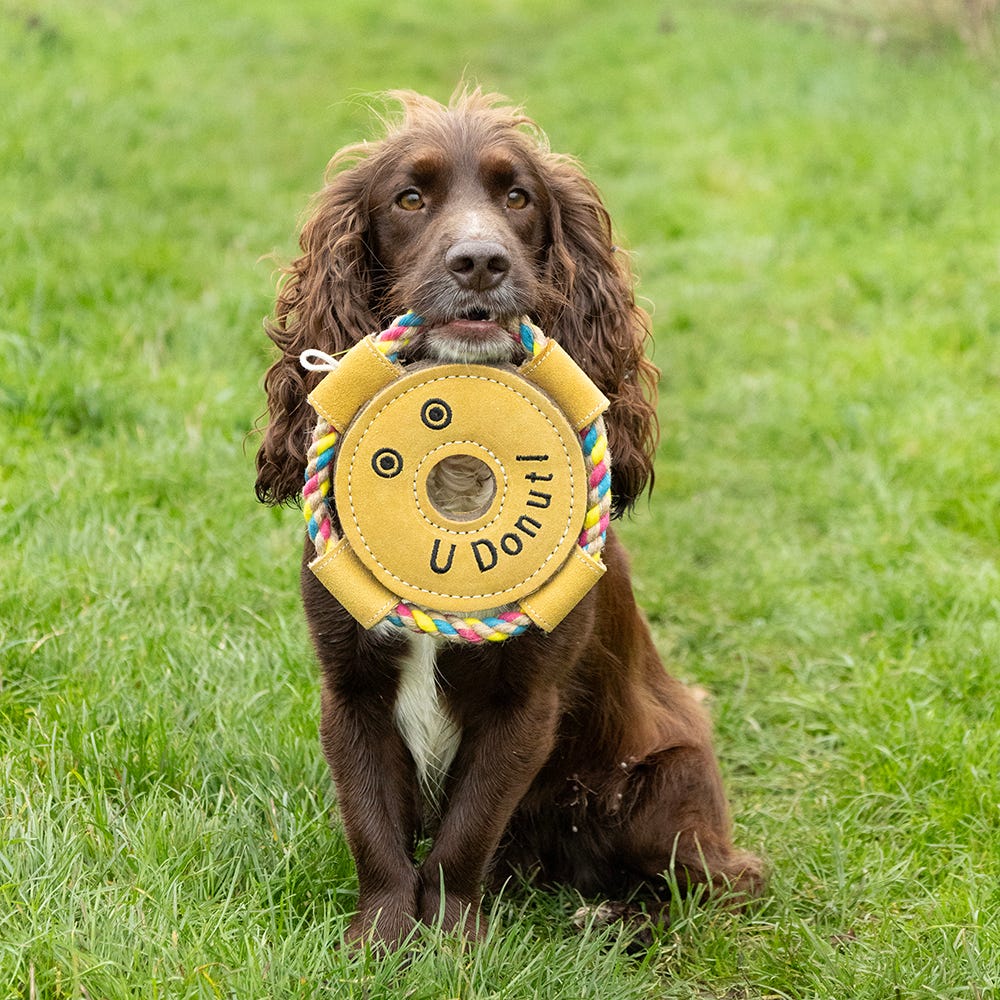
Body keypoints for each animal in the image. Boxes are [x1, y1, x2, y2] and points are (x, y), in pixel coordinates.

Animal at [254, 88, 760, 944]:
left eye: (517, 197)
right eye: (410, 199)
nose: (480, 262)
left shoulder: (526, 704)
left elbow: (464, 834)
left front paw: (450, 944)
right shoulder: (349, 687)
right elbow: (375, 829)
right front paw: (379, 940)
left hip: (669, 782)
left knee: (714, 884)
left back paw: (613, 917)